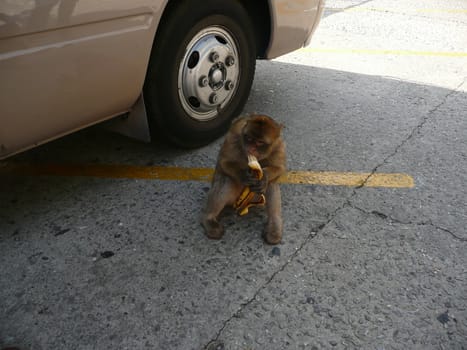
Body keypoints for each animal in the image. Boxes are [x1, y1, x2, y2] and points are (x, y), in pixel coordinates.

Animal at [202, 114, 288, 243]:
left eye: (260, 142)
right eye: (249, 138)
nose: (251, 149)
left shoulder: (279, 145)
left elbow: (279, 168)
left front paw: (264, 177)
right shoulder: (234, 136)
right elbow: (224, 162)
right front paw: (243, 176)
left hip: (256, 198)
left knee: (271, 184)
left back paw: (274, 227)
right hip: (232, 199)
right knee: (227, 180)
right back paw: (209, 218)